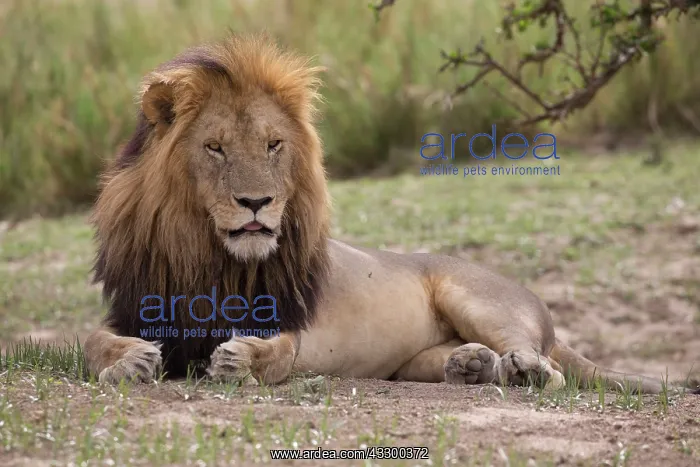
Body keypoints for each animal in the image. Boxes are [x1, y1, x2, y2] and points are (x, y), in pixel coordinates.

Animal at [84, 33, 698, 395]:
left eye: (273, 145)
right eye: (215, 148)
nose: (256, 202)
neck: (208, 254)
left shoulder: (296, 323)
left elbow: (281, 351)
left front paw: (240, 360)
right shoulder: (135, 306)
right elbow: (91, 340)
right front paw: (128, 363)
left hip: (478, 298)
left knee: (551, 368)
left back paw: (520, 368)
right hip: (416, 357)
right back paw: (472, 366)